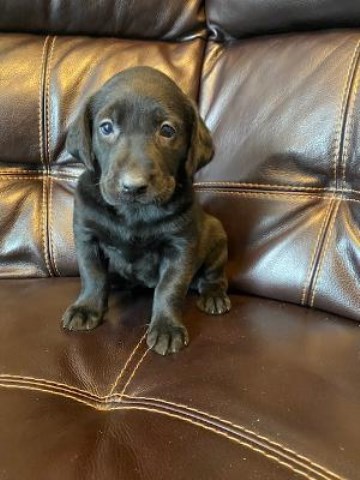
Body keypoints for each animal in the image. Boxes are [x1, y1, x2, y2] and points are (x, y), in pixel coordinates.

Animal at [62, 65, 231, 354]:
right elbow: (92, 275)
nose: (133, 186)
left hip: (217, 236)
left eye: (167, 131)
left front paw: (166, 327)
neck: (133, 213)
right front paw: (86, 308)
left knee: (215, 275)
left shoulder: (180, 246)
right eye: (106, 127)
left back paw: (214, 296)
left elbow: (169, 288)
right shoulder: (86, 236)